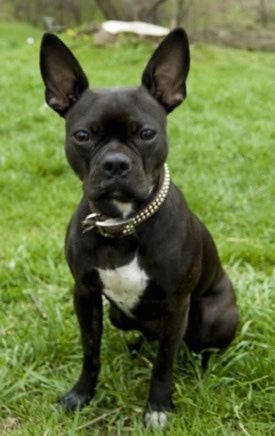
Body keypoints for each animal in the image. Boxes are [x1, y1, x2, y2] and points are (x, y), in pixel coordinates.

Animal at [39, 28, 239, 430]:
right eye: (82, 136)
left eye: (147, 133)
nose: (116, 163)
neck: (124, 223)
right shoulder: (85, 294)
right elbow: (90, 351)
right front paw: (81, 395)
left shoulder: (177, 306)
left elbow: (163, 365)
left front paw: (158, 408)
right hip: (118, 314)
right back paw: (136, 346)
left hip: (213, 316)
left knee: (201, 349)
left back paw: (203, 370)